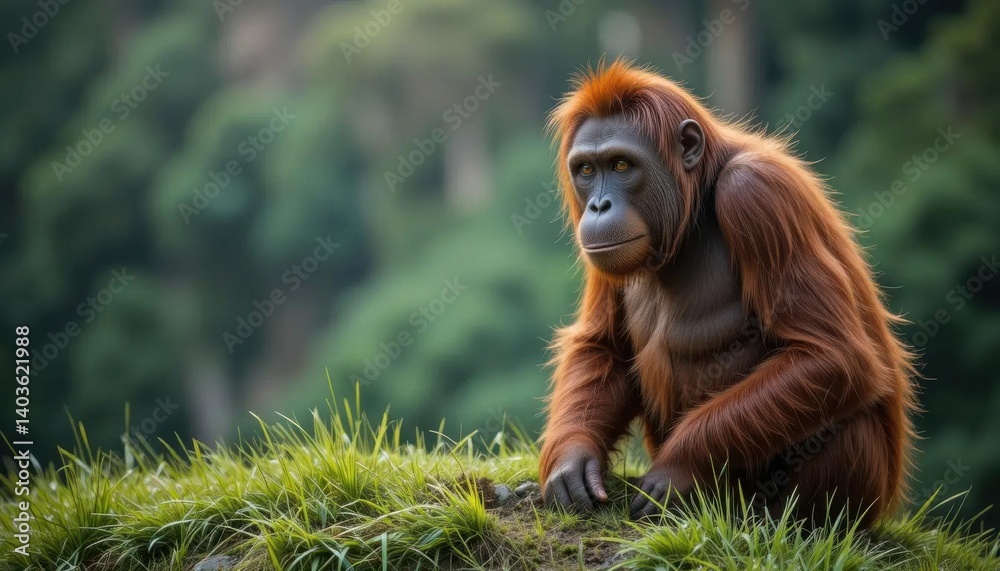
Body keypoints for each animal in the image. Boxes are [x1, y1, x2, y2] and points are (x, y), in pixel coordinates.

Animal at [538, 60, 917, 526]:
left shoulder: (757, 193)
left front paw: (675, 469)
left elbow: (833, 356)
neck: (696, 204)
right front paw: (572, 460)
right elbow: (603, 345)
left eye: (622, 165)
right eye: (588, 171)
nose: (598, 206)